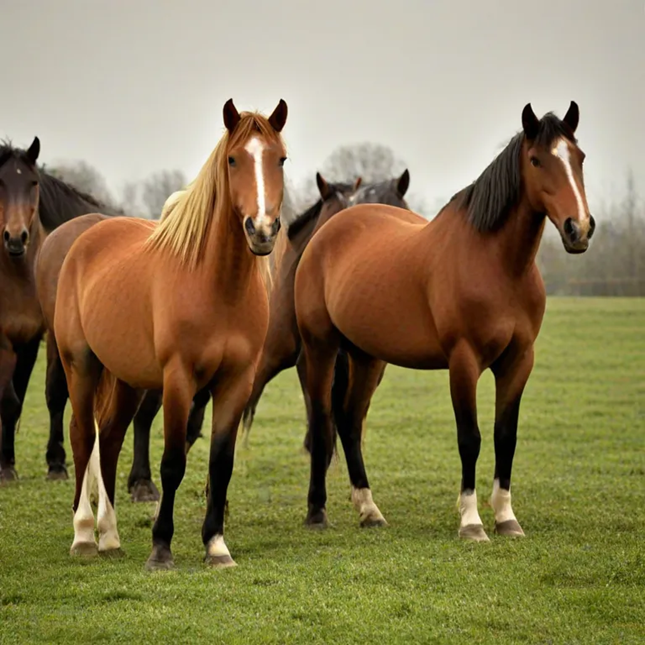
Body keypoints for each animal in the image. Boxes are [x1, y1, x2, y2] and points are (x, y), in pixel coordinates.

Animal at [51, 97, 288, 568]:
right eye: (233, 159)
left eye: (281, 159)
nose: (262, 230)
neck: (217, 286)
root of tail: (86, 238)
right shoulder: (178, 379)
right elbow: (173, 462)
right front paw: (161, 548)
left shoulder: (236, 381)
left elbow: (221, 464)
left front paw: (216, 546)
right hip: (80, 364)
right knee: (84, 434)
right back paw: (83, 535)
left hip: (125, 378)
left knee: (110, 437)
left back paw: (110, 535)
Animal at [292, 103, 592, 540]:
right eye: (537, 160)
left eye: (579, 158)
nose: (579, 229)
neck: (497, 265)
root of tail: (326, 233)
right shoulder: (463, 361)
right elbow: (470, 438)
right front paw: (471, 522)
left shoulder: (519, 361)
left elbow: (505, 436)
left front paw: (506, 518)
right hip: (322, 348)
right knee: (322, 419)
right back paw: (317, 512)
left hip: (367, 357)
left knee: (349, 422)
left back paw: (369, 510)